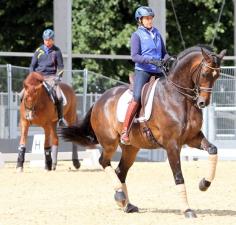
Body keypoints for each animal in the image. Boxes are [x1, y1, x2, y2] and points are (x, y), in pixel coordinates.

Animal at [58, 47, 225, 218]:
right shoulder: (172, 145)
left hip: (131, 148)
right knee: (103, 162)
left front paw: (204, 184)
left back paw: (126, 204)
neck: (179, 98)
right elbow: (178, 176)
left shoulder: (193, 138)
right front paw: (187, 210)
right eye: (204, 73)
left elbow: (213, 150)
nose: (203, 102)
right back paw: (120, 196)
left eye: (217, 75)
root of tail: (100, 100)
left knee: (120, 171)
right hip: (110, 143)